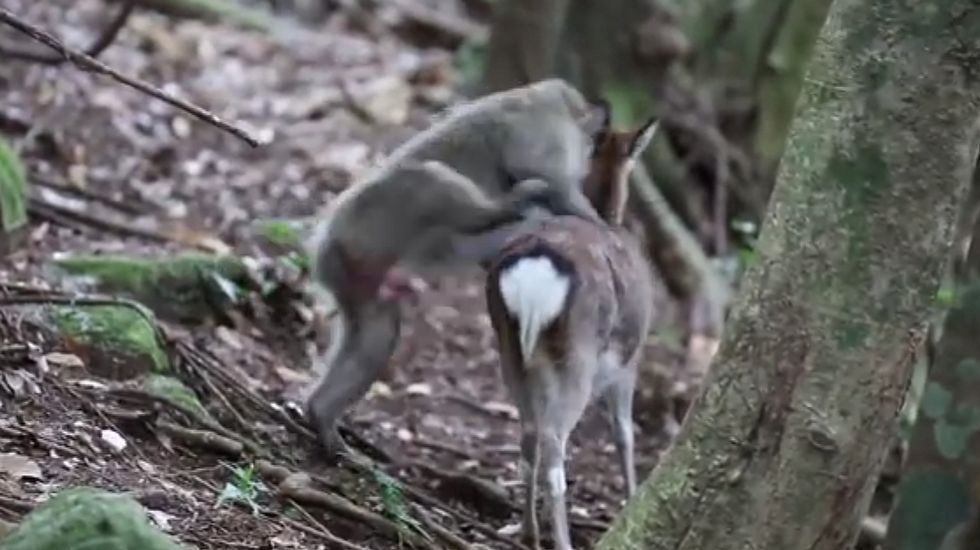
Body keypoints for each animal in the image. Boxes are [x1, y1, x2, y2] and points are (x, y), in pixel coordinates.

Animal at [303, 79, 608, 458]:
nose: (592, 150)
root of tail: (329, 236)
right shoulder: (546, 130)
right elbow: (541, 172)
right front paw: (597, 221)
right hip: (372, 215)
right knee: (431, 179)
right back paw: (505, 207)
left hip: (354, 270)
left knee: (375, 337)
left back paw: (321, 416)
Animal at [484, 110, 659, 550]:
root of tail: (533, 272)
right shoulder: (631, 358)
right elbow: (624, 432)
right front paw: (631, 498)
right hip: (576, 356)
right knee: (552, 447)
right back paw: (560, 540)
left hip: (509, 346)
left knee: (529, 435)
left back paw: (528, 530)